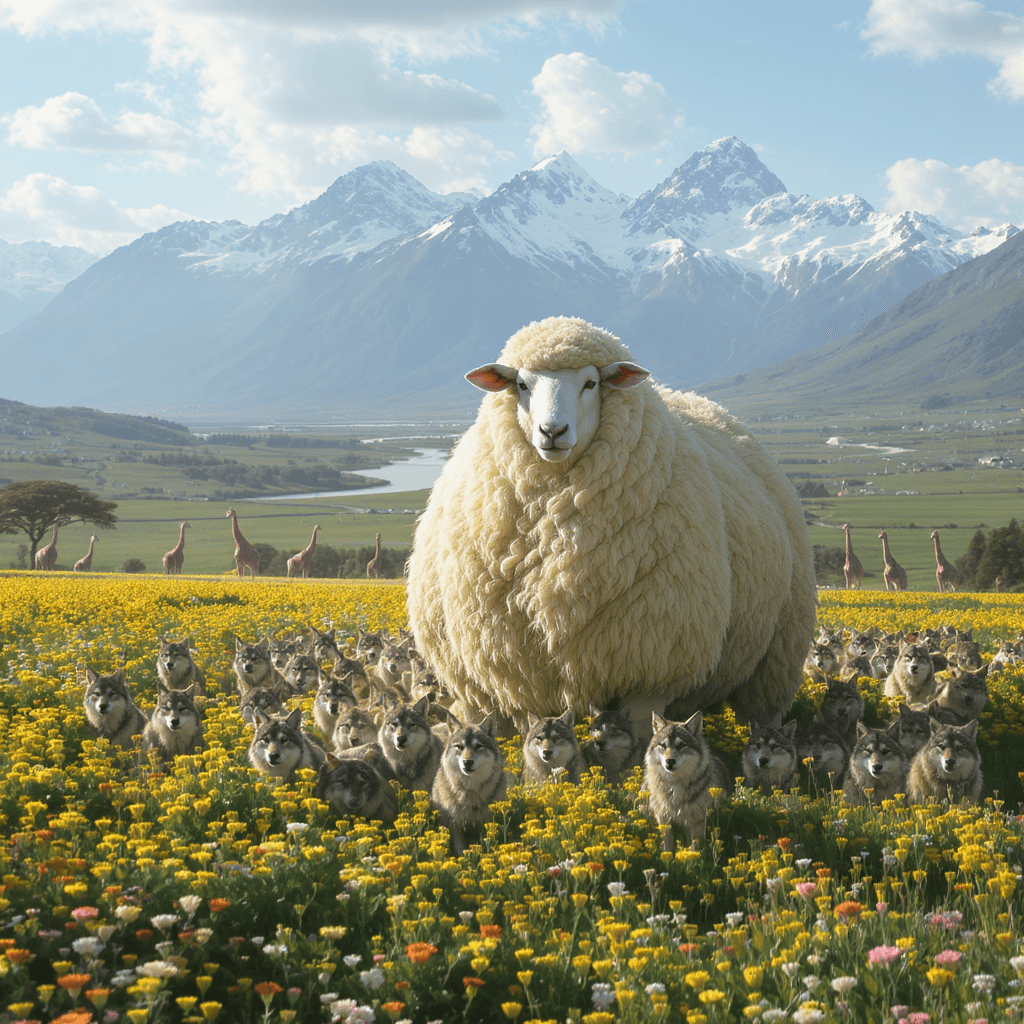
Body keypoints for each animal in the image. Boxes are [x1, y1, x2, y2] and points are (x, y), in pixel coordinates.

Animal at [404, 316, 817, 736]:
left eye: (590, 383)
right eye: (521, 384)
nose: (552, 432)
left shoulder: (650, 671)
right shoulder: (508, 682)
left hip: (777, 657)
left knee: (763, 711)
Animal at [431, 715, 511, 854]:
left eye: (478, 746)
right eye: (459, 746)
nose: (467, 762)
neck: (471, 790)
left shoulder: (486, 821)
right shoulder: (454, 823)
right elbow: (460, 849)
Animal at [644, 711, 732, 850]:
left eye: (681, 745)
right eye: (663, 745)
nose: (669, 761)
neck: (675, 788)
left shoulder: (697, 822)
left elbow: (695, 848)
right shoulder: (664, 820)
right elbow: (667, 847)